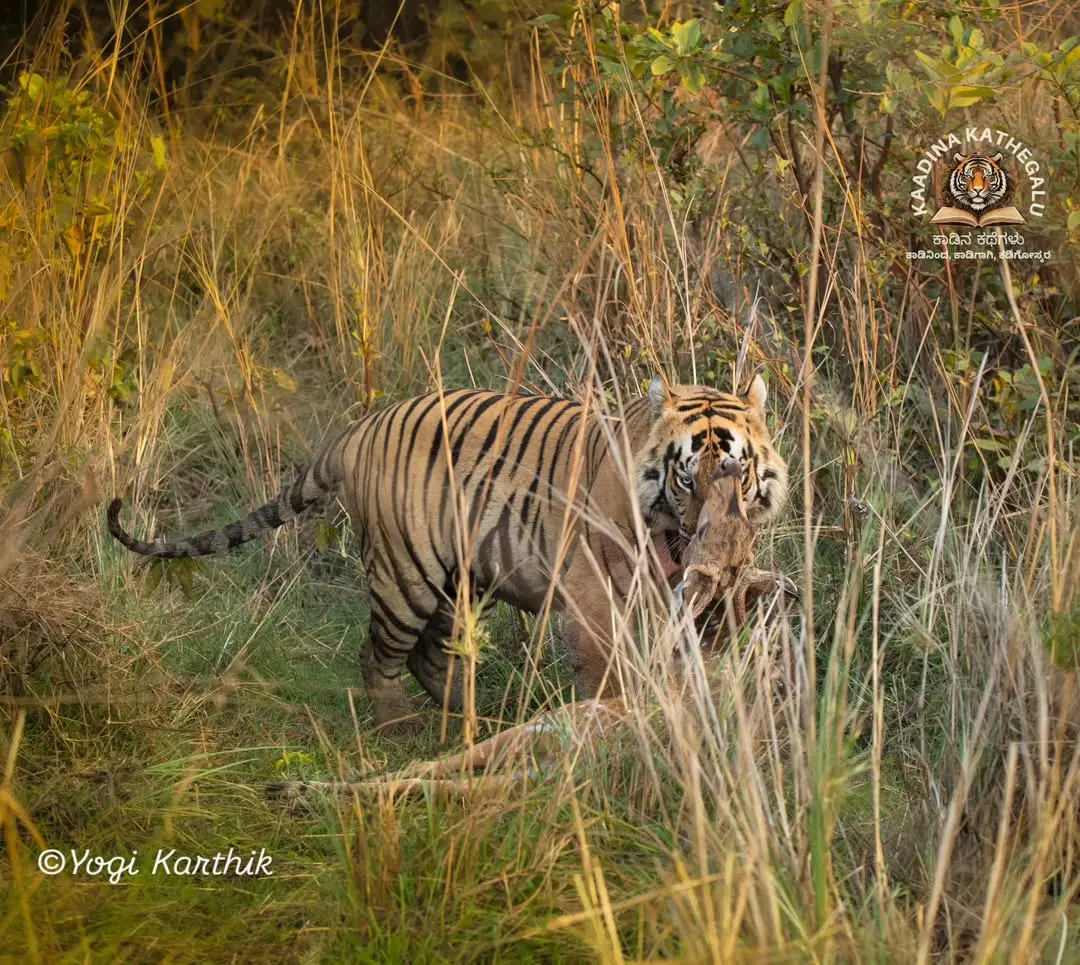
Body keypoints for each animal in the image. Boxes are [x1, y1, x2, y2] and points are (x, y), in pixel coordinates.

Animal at [107, 373, 786, 729]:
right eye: (685, 478)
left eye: (737, 469)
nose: (704, 534)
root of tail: (356, 430)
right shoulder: (594, 591)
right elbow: (606, 669)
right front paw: (609, 722)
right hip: (406, 574)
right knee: (378, 654)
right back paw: (402, 724)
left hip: (459, 579)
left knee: (428, 654)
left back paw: (470, 719)